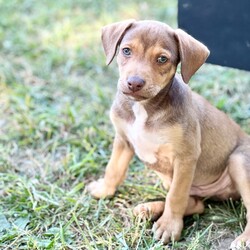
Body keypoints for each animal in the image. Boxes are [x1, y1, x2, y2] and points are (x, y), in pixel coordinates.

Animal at [86, 19, 250, 248]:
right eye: (126, 51)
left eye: (162, 59)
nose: (134, 83)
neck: (144, 109)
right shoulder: (123, 140)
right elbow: (114, 169)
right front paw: (104, 190)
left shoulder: (186, 157)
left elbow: (176, 196)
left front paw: (169, 227)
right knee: (197, 205)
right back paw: (148, 209)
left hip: (238, 160)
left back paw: (244, 239)